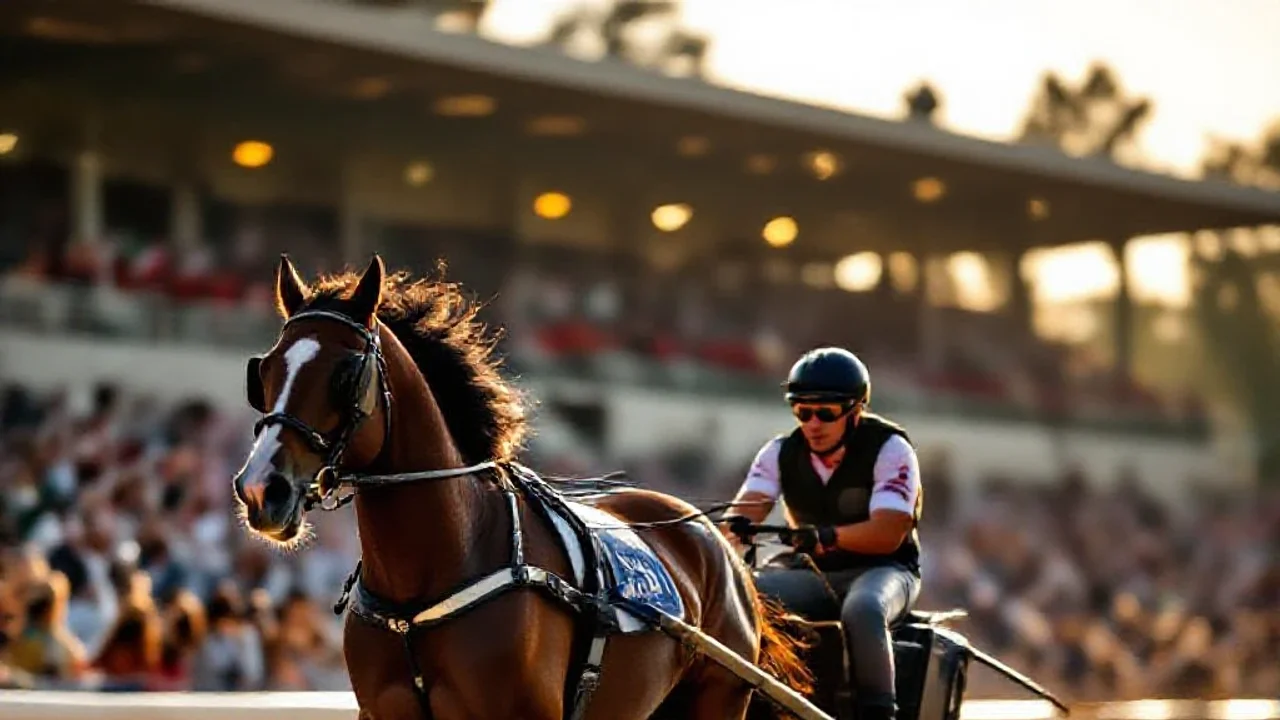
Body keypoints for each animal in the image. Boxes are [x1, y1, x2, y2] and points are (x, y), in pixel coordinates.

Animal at [230, 254, 812, 720]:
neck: (422, 589)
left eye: (345, 375)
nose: (261, 489)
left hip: (716, 697)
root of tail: (718, 547)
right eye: (265, 371)